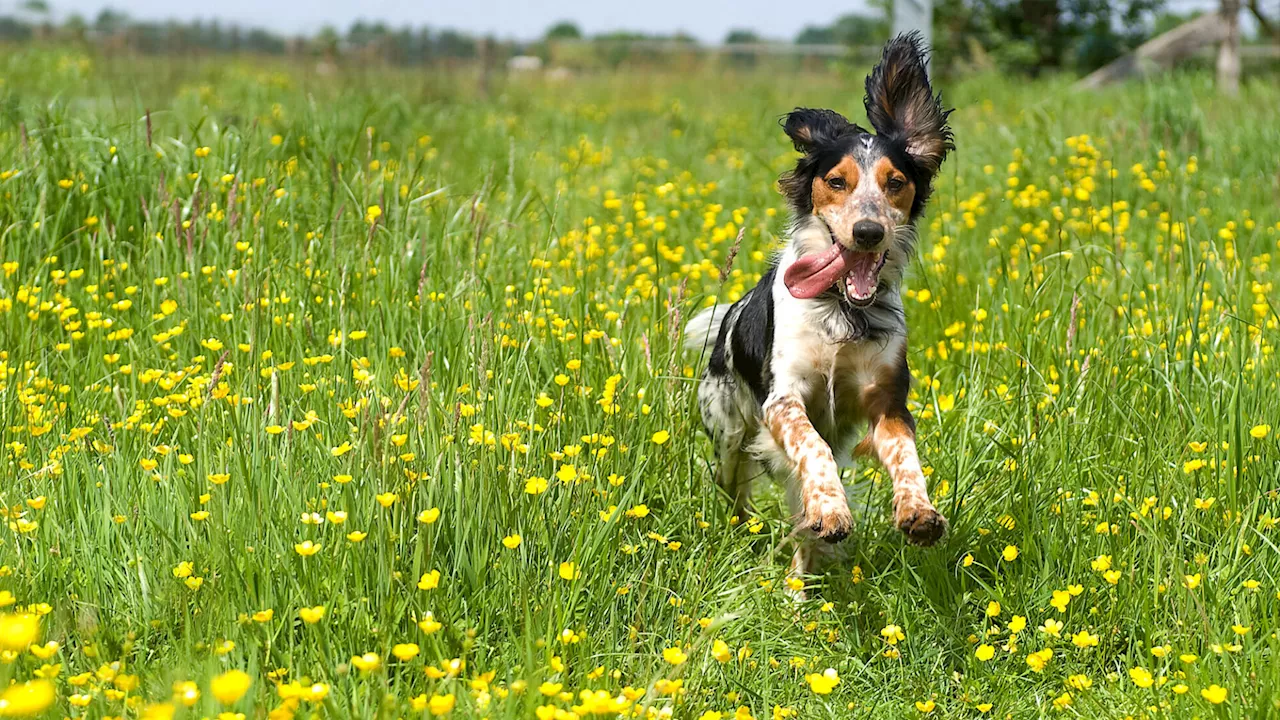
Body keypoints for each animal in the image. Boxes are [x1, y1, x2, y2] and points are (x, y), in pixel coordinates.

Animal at [691, 33, 952, 576]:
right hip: (727, 432)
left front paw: (918, 511)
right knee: (737, 488)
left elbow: (905, 454)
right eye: (836, 181)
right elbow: (813, 448)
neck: (841, 311)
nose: (868, 231)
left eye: (895, 182)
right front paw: (832, 510)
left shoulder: (887, 400)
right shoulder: (784, 398)